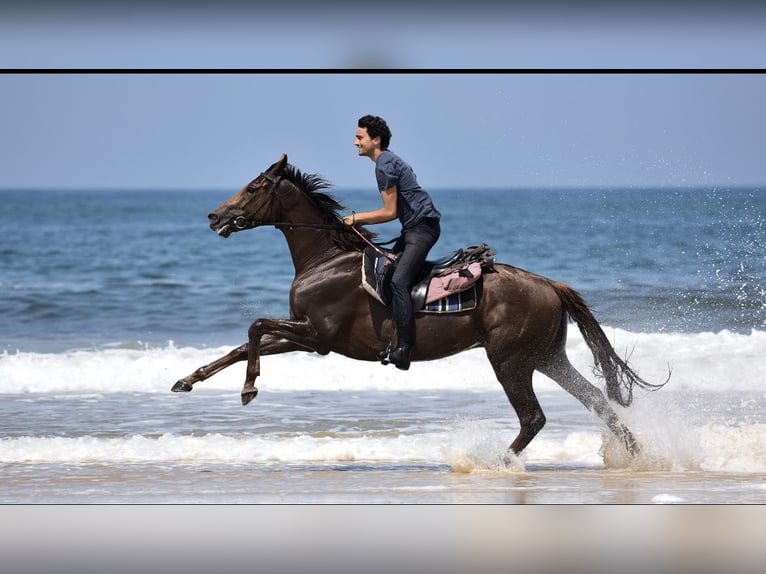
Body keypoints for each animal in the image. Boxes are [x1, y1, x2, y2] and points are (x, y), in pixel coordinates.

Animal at [172, 155, 664, 462]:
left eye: (255, 186)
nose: (215, 217)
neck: (325, 260)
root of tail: (549, 284)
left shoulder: (317, 336)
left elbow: (254, 327)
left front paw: (248, 388)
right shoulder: (305, 334)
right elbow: (243, 344)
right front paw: (188, 380)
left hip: (510, 360)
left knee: (534, 418)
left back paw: (494, 462)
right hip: (547, 357)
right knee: (599, 403)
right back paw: (639, 456)